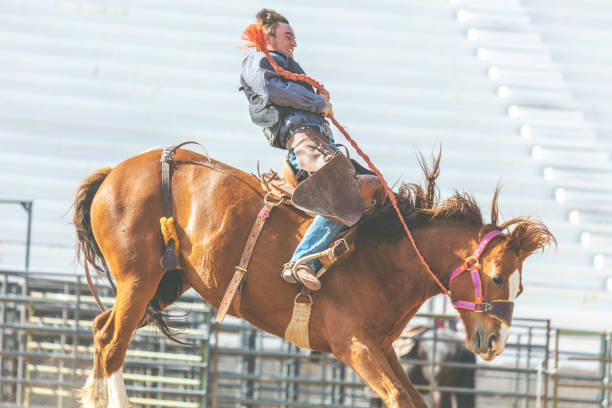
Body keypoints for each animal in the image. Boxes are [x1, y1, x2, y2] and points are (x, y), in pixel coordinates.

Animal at [71, 147, 556, 408]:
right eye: (498, 277)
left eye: (519, 285)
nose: (494, 341)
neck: (384, 255)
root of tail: (114, 173)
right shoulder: (354, 345)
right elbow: (398, 398)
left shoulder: (383, 347)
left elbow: (412, 399)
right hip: (139, 279)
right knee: (112, 344)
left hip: (164, 282)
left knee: (99, 330)